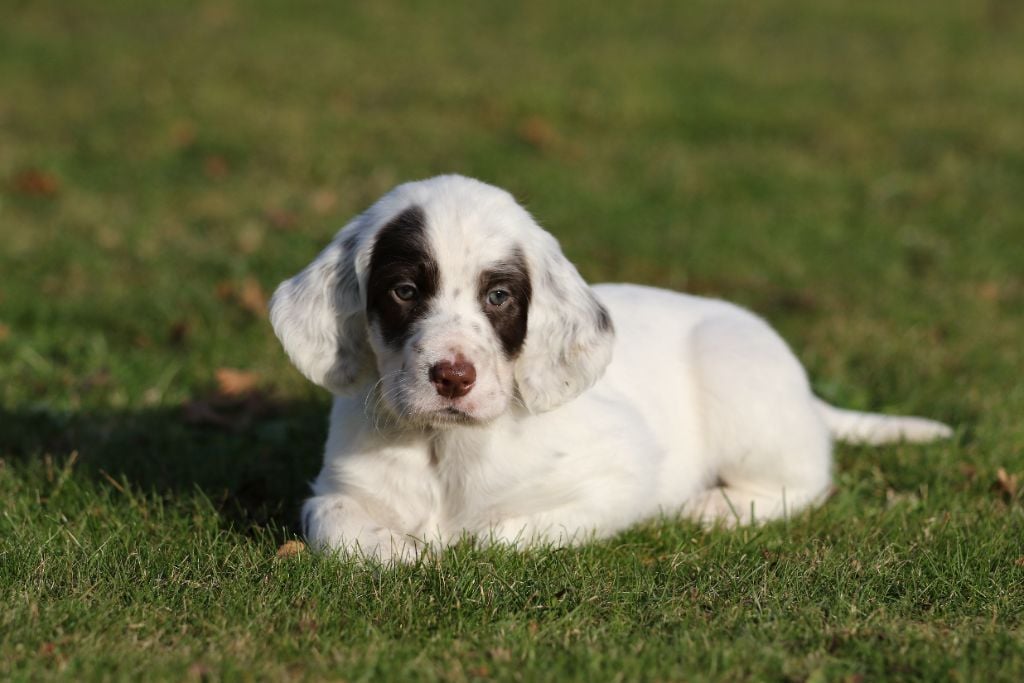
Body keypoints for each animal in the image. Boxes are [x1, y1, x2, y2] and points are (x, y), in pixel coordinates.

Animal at [270, 174, 952, 561]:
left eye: (500, 297)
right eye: (405, 291)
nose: (453, 377)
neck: (446, 448)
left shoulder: (620, 477)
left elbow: (497, 534)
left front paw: (449, 539)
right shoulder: (335, 489)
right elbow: (335, 528)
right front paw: (398, 548)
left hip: (738, 381)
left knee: (806, 480)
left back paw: (715, 508)